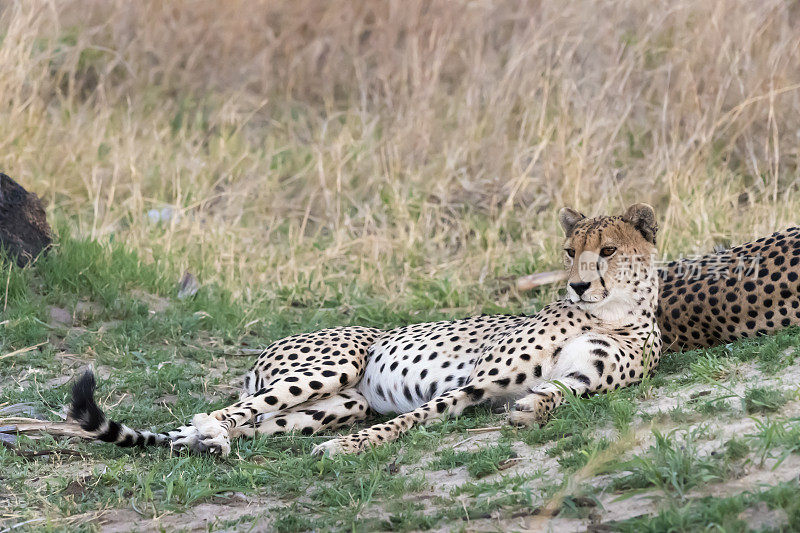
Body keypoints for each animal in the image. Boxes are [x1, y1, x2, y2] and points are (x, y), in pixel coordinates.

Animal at [69, 205, 660, 458]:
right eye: (569, 251)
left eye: (608, 250)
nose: (578, 285)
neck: (613, 312)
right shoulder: (473, 383)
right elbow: (415, 416)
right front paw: (353, 450)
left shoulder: (581, 381)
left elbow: (557, 393)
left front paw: (532, 408)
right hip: (333, 366)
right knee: (227, 410)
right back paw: (208, 430)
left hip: (342, 403)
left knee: (255, 424)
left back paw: (209, 441)